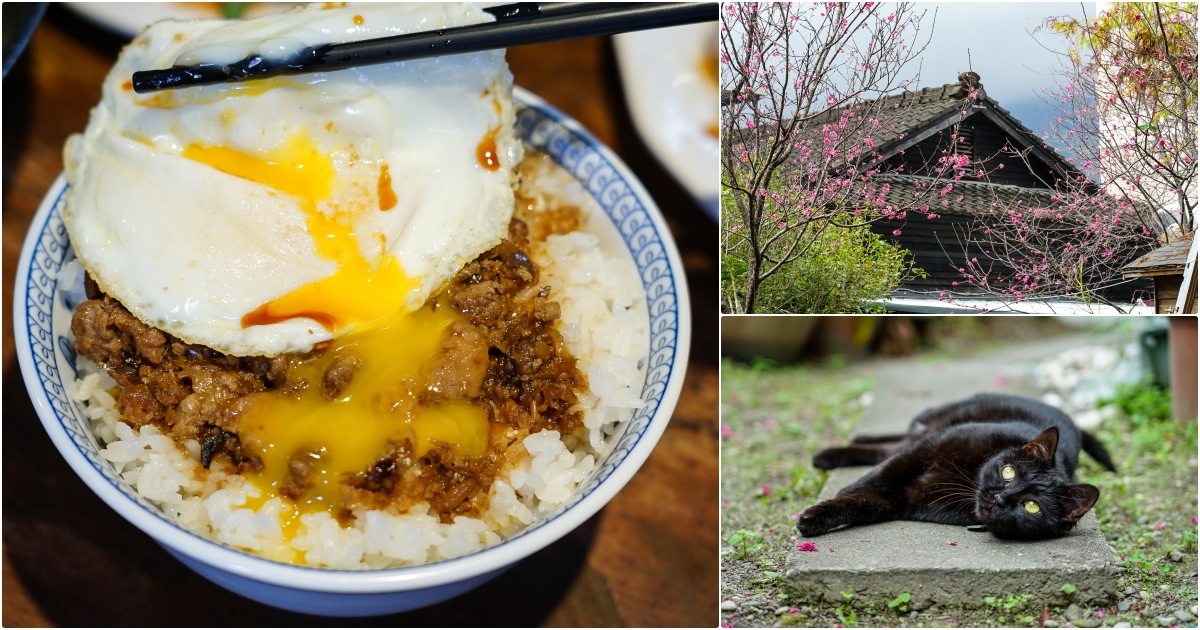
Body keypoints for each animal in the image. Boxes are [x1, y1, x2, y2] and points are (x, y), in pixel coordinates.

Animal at [796, 391, 1113, 537]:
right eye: (1009, 472)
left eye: (1031, 506)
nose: (999, 498)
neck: (967, 480)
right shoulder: (932, 445)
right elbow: (883, 472)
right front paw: (842, 492)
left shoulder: (908, 498)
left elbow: (863, 503)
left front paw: (816, 518)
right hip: (936, 423)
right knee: (895, 445)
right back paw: (834, 452)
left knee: (890, 448)